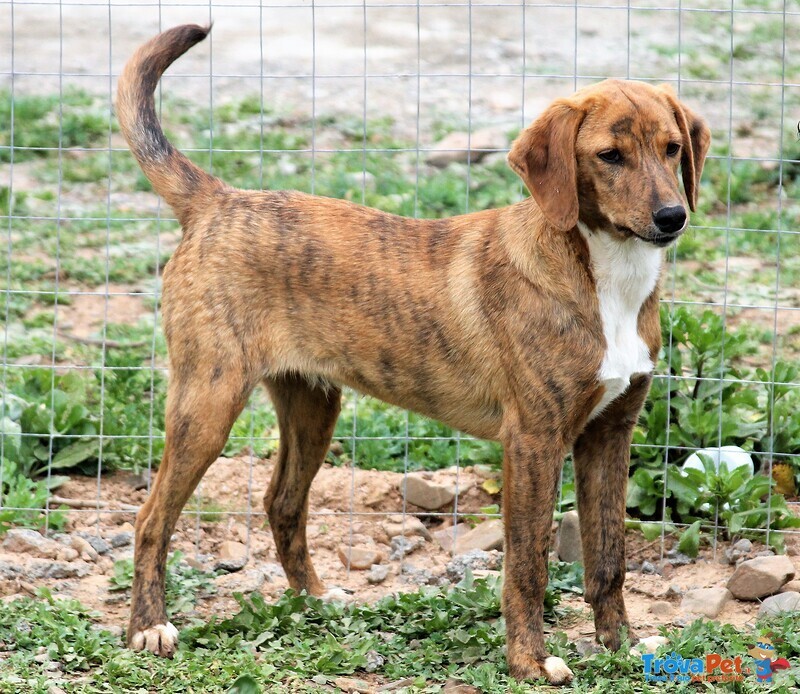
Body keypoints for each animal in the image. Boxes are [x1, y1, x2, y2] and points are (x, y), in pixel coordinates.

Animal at [115, 23, 708, 684]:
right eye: (609, 156)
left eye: (673, 149)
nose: (672, 217)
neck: (603, 277)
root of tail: (217, 200)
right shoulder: (533, 439)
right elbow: (527, 563)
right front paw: (529, 661)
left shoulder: (610, 433)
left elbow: (609, 558)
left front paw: (621, 647)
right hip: (207, 403)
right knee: (150, 518)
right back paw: (148, 628)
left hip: (312, 406)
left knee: (281, 503)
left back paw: (313, 601)